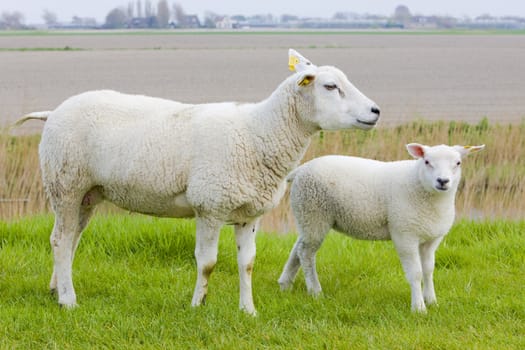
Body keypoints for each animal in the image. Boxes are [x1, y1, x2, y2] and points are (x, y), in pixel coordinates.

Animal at [16, 49, 380, 314]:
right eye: (330, 86)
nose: (376, 111)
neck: (258, 132)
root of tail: (53, 112)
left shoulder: (249, 214)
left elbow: (247, 264)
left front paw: (248, 311)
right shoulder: (210, 206)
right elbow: (207, 264)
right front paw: (198, 305)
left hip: (88, 193)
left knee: (70, 239)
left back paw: (56, 288)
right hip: (65, 183)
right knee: (60, 239)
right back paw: (68, 300)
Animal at [278, 142, 484, 312]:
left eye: (458, 163)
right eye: (427, 162)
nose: (442, 181)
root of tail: (301, 169)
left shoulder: (431, 238)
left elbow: (428, 270)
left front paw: (432, 301)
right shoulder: (404, 233)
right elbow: (416, 273)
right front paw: (418, 307)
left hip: (307, 216)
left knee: (298, 248)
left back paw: (285, 283)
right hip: (313, 212)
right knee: (306, 253)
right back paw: (315, 291)